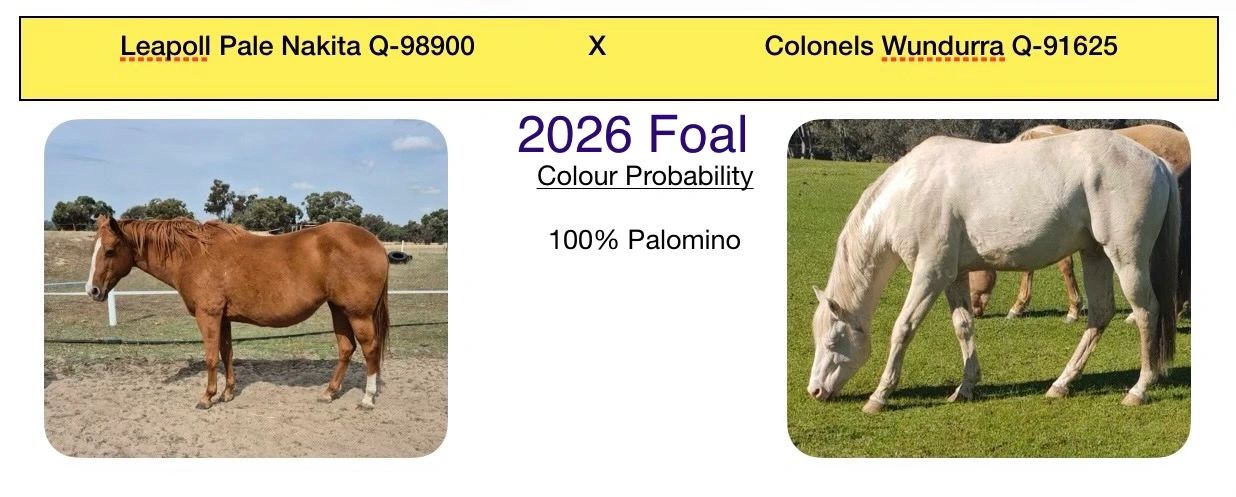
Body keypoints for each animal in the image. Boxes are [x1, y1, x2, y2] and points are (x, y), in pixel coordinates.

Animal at [86, 216, 390, 410]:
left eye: (110, 251)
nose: (93, 291)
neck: (194, 255)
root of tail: (376, 243)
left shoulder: (208, 316)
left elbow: (211, 357)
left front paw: (207, 397)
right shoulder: (224, 318)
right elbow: (227, 353)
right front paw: (228, 393)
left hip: (358, 313)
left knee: (370, 349)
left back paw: (367, 399)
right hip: (338, 309)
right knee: (346, 348)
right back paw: (328, 393)